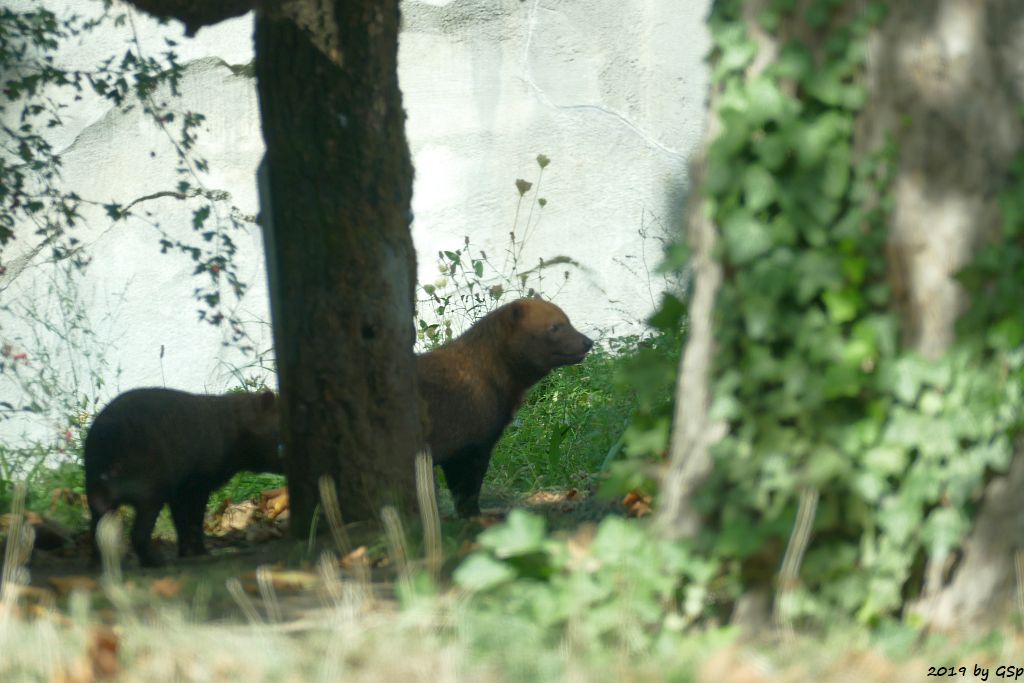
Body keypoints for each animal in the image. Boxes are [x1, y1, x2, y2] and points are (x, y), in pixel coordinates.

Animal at [83, 387, 280, 569]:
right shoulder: (198, 485)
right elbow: (194, 521)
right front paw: (202, 552)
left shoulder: (178, 490)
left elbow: (181, 522)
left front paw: (186, 553)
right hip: (150, 493)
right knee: (137, 533)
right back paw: (156, 561)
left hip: (98, 494)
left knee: (97, 529)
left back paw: (99, 563)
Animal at [415, 299, 593, 518]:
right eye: (554, 326)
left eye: (568, 320)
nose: (588, 342)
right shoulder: (467, 440)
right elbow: (466, 486)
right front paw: (476, 515)